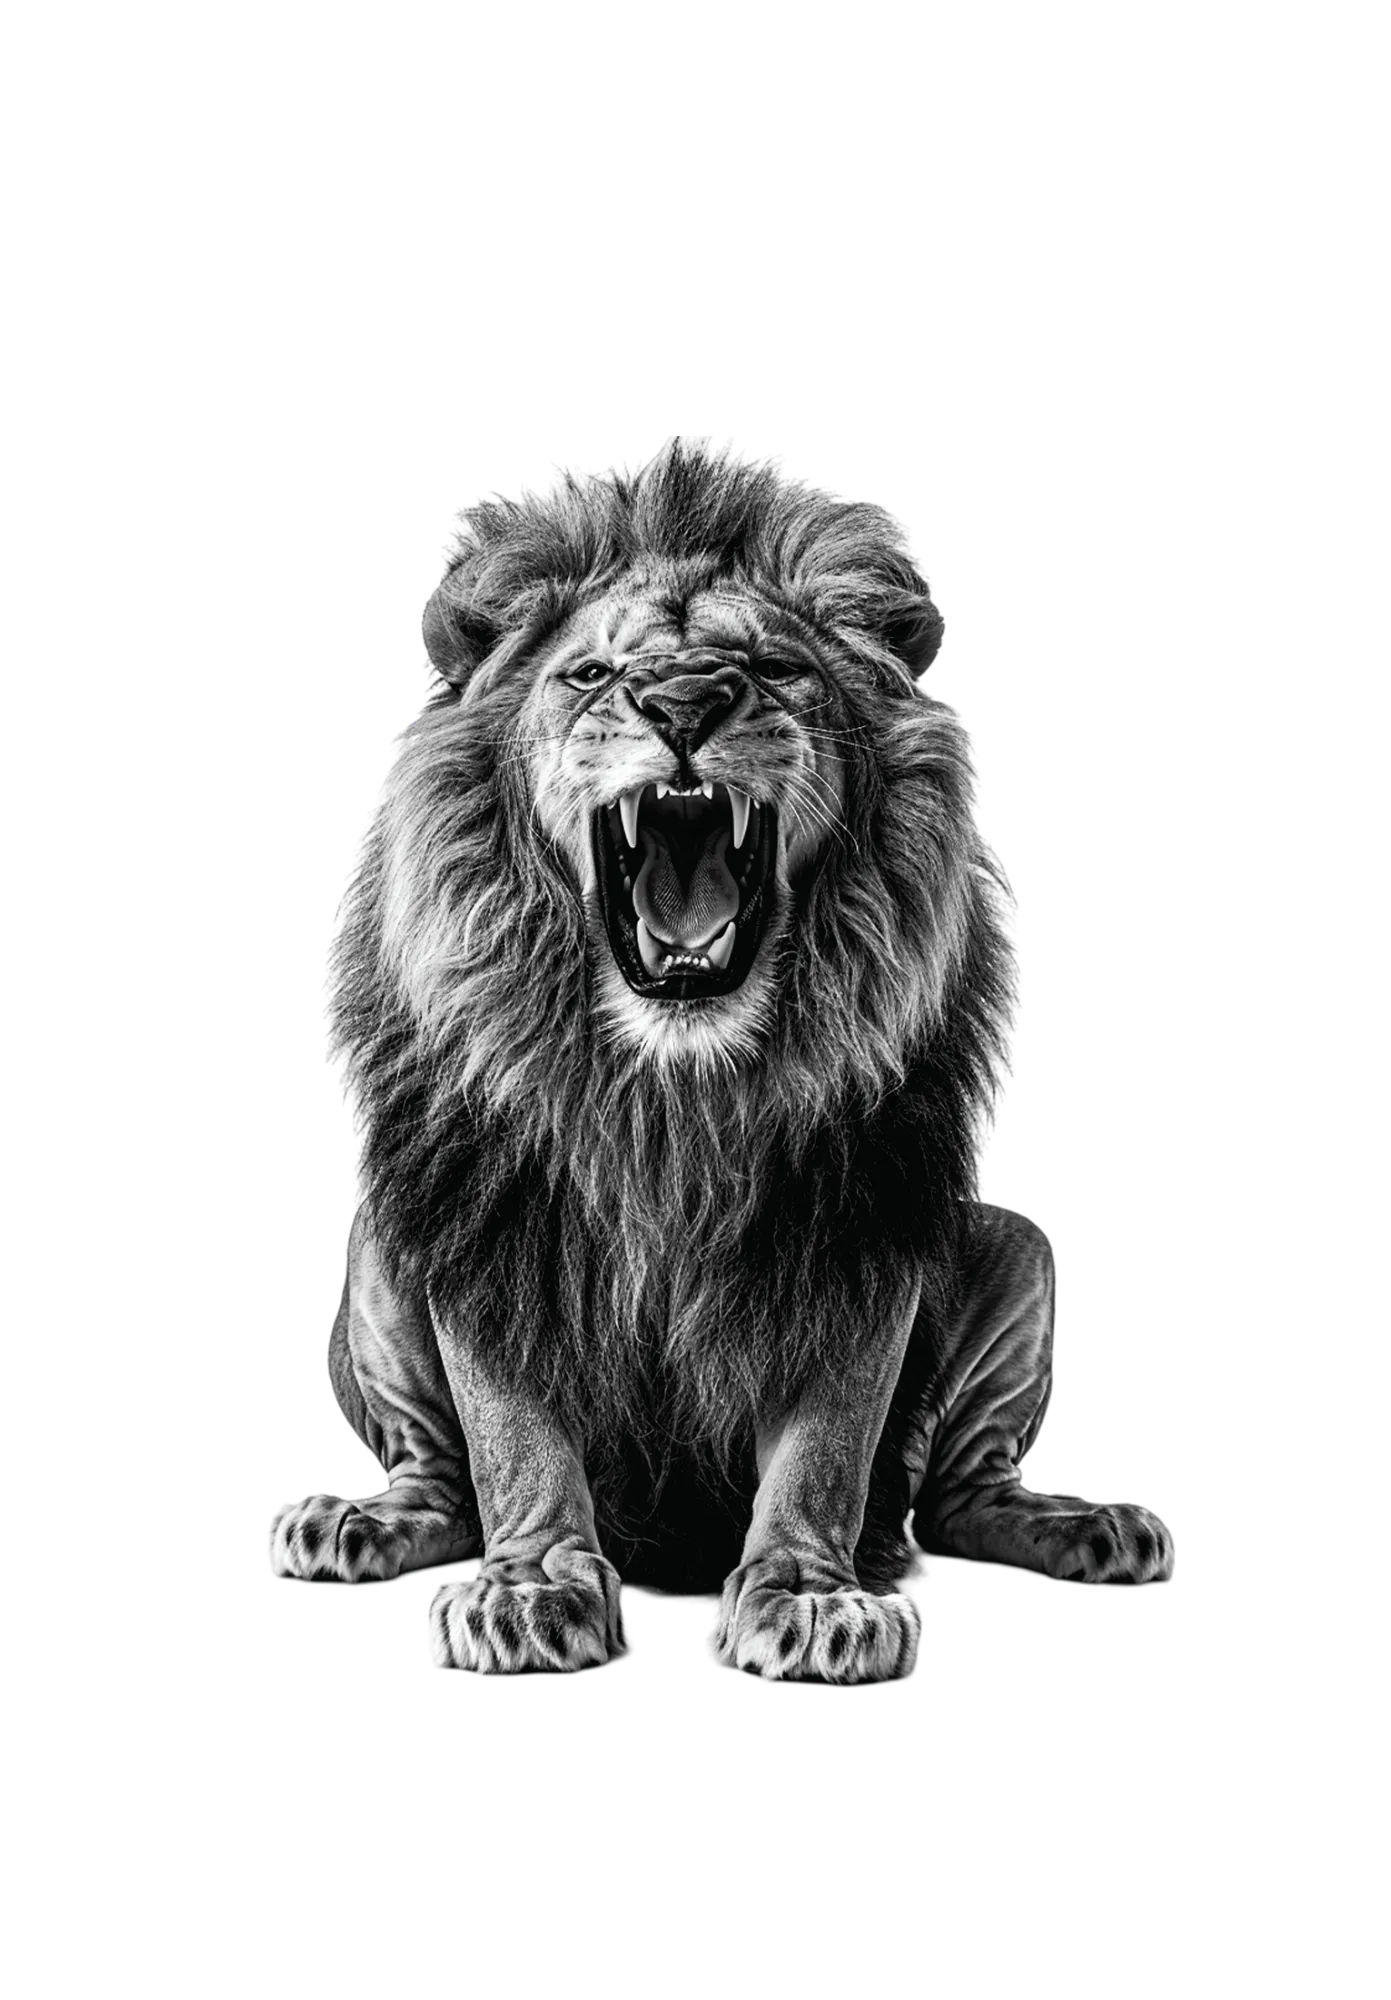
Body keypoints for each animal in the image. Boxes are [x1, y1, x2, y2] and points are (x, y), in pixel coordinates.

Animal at [268, 435, 1174, 1680]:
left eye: (772, 668)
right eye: (590, 675)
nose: (684, 700)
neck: (671, 1088)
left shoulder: (861, 1213)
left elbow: (828, 1440)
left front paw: (809, 1597)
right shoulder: (483, 1206)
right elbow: (511, 1430)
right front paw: (530, 1586)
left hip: (1012, 1252)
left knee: (962, 1486)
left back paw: (1085, 1527)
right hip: (379, 1244)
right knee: (435, 1470)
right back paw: (353, 1521)